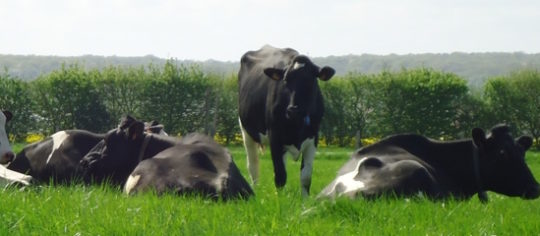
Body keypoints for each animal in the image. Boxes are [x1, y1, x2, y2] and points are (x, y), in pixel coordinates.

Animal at [239, 44, 336, 195]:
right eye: (285, 80)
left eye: (311, 81)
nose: (293, 109)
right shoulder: (275, 138)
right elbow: (280, 176)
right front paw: (280, 199)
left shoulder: (313, 137)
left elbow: (306, 177)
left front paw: (305, 200)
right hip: (245, 130)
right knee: (253, 165)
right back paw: (255, 189)